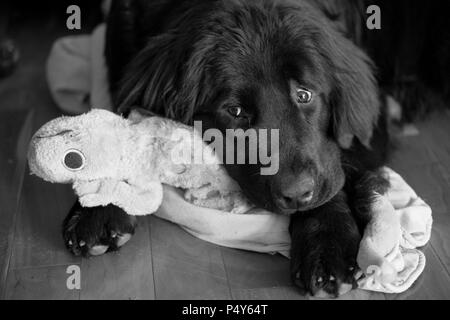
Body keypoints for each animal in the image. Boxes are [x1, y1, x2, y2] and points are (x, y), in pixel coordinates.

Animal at [63, 0, 398, 298]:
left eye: (304, 94)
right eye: (235, 111)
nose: (297, 195)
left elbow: (335, 173)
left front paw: (327, 243)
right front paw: (98, 206)